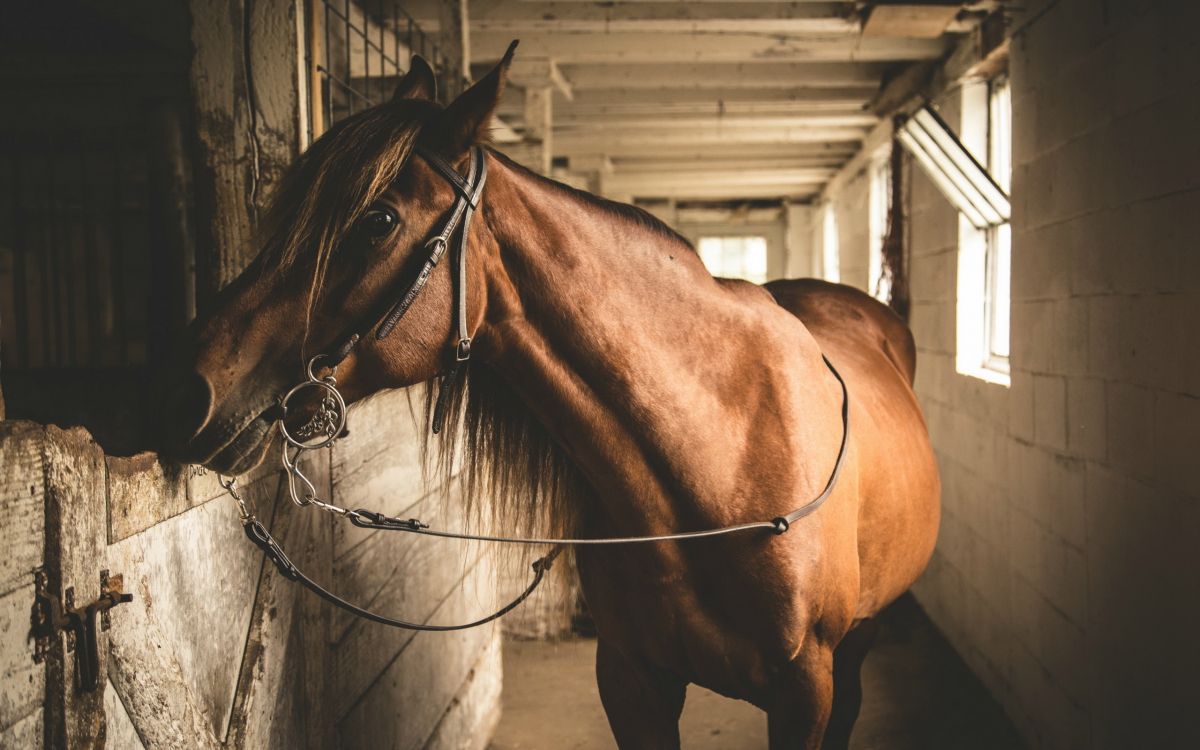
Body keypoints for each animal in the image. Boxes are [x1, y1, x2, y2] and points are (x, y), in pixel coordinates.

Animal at [160, 46, 940, 749]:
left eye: (377, 220)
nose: (183, 387)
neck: (717, 464)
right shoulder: (631, 682)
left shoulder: (804, 690)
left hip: (858, 644)